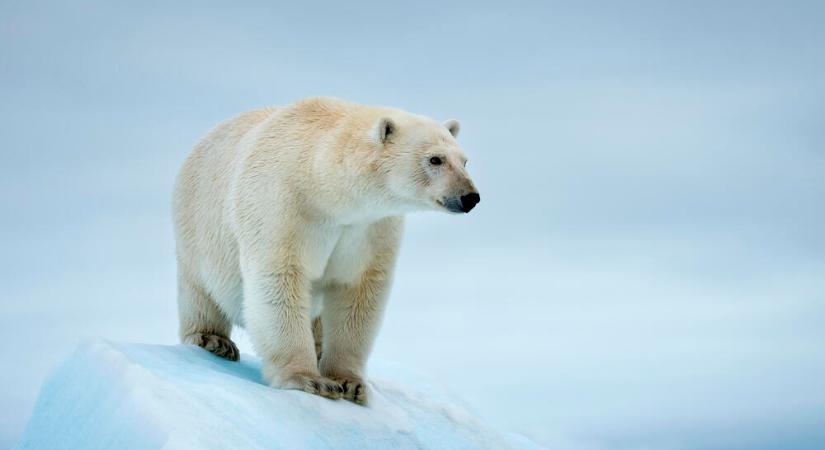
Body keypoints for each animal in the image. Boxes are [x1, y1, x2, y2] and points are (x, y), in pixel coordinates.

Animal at [174, 97, 480, 404]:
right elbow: (279, 278)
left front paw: (349, 383)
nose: (470, 197)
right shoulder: (281, 204)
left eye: (464, 160)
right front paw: (309, 379)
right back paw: (213, 340)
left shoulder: (369, 228)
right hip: (198, 226)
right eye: (435, 159)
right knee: (199, 291)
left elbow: (358, 292)